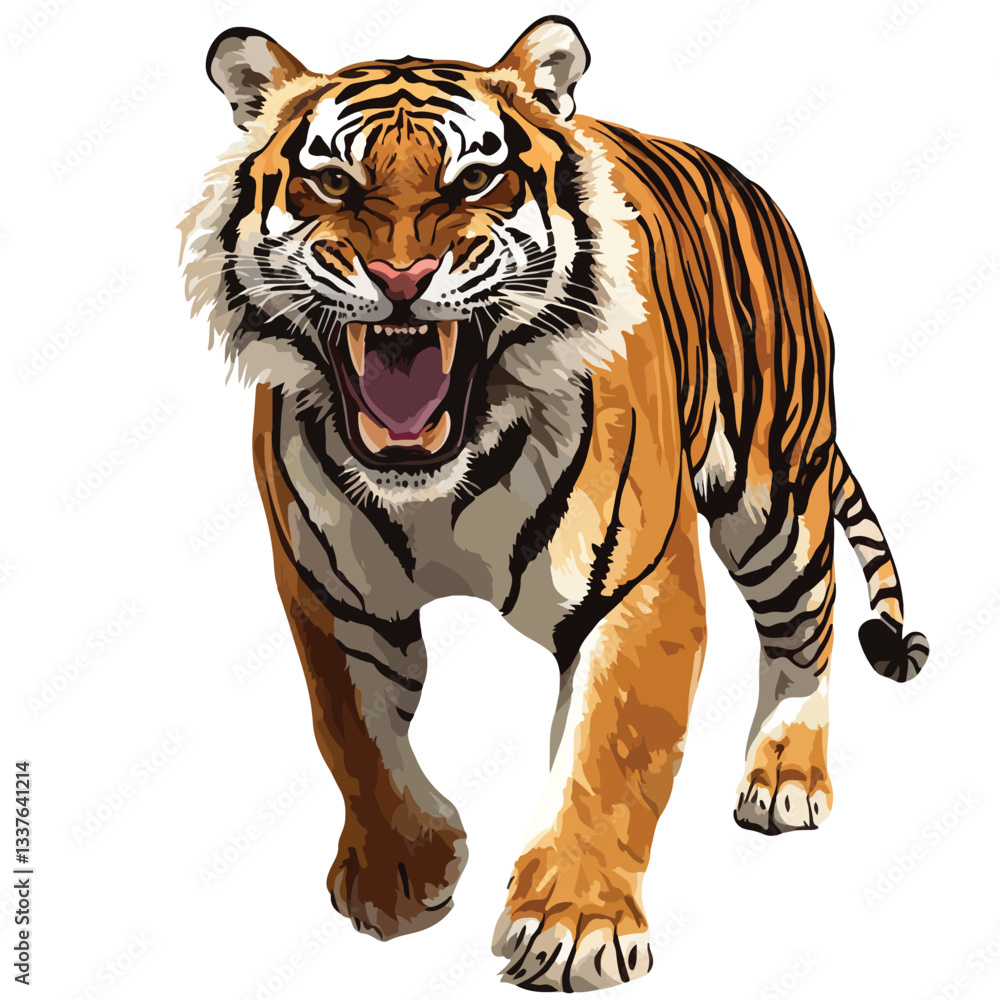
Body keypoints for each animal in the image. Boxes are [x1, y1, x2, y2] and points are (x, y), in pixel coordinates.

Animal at [180, 17, 929, 991]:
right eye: (334, 182)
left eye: (474, 179)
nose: (400, 275)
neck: (440, 478)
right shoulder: (334, 597)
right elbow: (354, 736)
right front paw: (400, 875)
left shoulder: (637, 589)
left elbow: (606, 758)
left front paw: (576, 926)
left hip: (777, 494)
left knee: (810, 625)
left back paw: (786, 778)